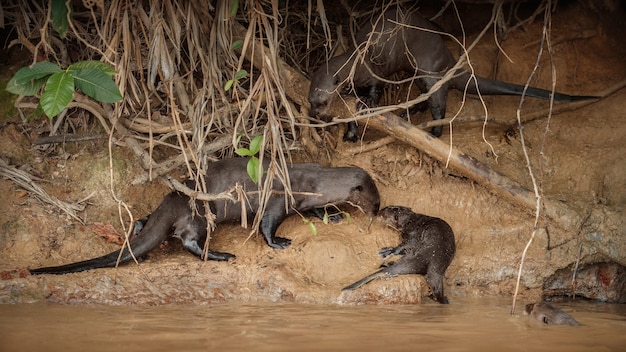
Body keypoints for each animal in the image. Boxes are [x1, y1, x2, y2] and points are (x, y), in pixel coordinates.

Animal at [29, 158, 378, 276]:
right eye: (375, 201)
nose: (376, 211)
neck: (315, 181)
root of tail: (173, 201)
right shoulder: (279, 198)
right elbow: (266, 225)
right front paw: (279, 242)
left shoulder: (307, 199)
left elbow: (315, 210)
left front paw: (333, 217)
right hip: (197, 216)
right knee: (190, 243)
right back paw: (223, 255)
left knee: (147, 221)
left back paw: (140, 227)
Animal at [310, 5, 596, 140]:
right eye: (310, 100)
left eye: (322, 102)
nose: (313, 115)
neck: (355, 60)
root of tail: (449, 60)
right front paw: (350, 133)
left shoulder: (372, 71)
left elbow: (374, 90)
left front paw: (366, 102)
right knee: (426, 95)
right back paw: (411, 110)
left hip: (430, 70)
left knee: (439, 103)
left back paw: (432, 132)